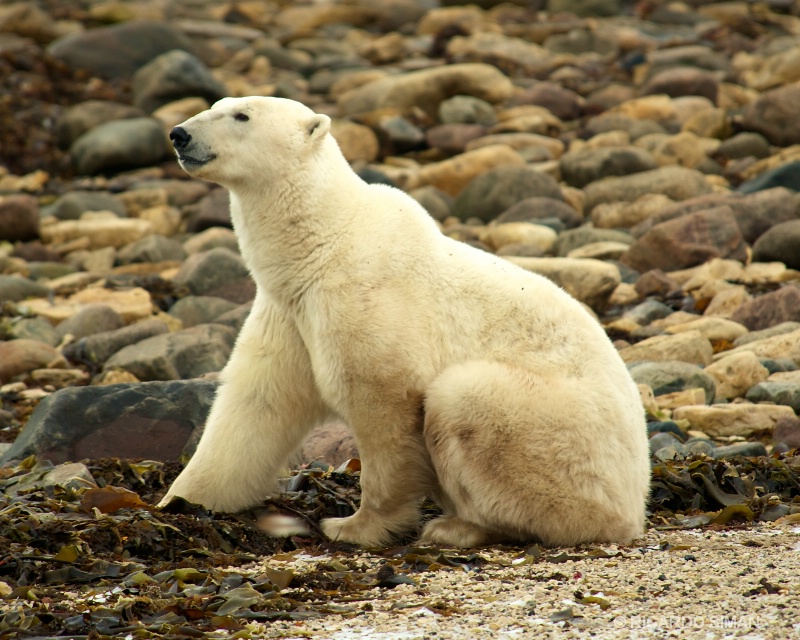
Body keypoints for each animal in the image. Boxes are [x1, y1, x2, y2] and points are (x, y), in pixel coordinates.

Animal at [160, 96, 651, 549]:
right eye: (215, 105)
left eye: (241, 115)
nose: (179, 134)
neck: (322, 246)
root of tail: (637, 500)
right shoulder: (290, 315)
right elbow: (255, 403)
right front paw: (179, 502)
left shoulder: (363, 300)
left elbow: (385, 403)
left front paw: (353, 526)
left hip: (564, 434)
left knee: (466, 399)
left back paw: (458, 525)